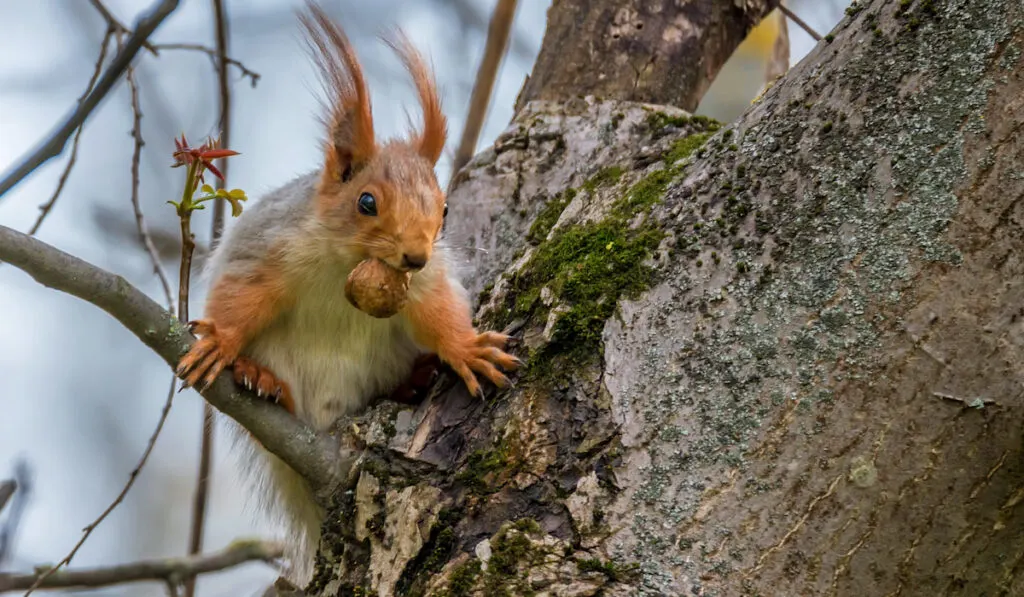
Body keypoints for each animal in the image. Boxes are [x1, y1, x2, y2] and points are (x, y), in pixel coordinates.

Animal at [173, 2, 520, 585]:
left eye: (445, 209)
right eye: (366, 202)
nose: (416, 256)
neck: (346, 266)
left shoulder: (422, 287)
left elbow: (437, 313)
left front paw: (466, 348)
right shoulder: (270, 250)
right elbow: (242, 296)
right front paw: (220, 341)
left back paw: (415, 379)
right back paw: (261, 379)